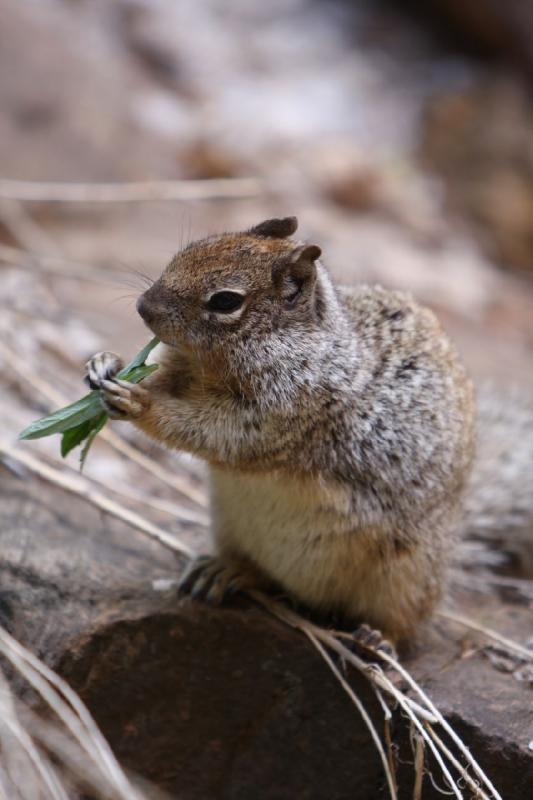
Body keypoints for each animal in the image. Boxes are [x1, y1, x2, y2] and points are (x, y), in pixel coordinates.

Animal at [86, 217, 528, 644]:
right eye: (187, 251)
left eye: (225, 300)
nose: (143, 307)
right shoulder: (184, 370)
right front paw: (104, 363)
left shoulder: (282, 417)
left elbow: (211, 432)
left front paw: (139, 401)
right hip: (231, 527)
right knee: (260, 575)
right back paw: (224, 571)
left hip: (407, 578)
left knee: (408, 623)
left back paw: (378, 641)